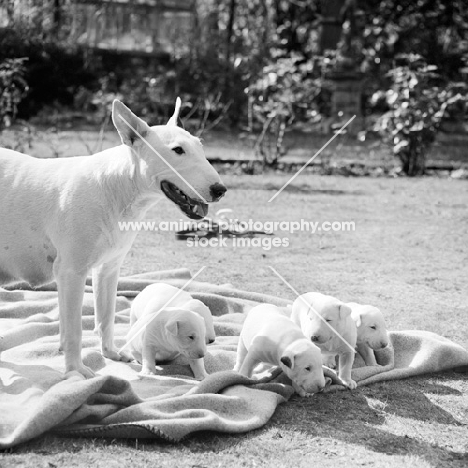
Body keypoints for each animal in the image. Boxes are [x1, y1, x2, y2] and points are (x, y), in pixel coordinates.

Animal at [0, 98, 227, 376]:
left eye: (200, 146)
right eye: (177, 150)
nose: (220, 190)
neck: (119, 189)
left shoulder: (108, 269)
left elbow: (106, 316)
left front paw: (110, 353)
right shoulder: (71, 272)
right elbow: (74, 328)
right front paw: (77, 370)